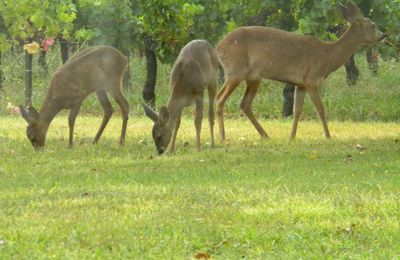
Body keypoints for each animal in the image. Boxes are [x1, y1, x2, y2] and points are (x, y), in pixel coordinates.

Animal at [217, 1, 386, 141]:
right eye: (373, 25)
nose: (383, 35)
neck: (328, 56)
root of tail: (218, 48)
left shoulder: (301, 84)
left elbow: (297, 110)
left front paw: (292, 137)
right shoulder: (312, 79)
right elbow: (320, 109)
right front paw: (328, 136)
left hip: (253, 77)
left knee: (244, 104)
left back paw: (264, 135)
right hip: (236, 70)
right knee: (220, 98)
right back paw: (222, 136)